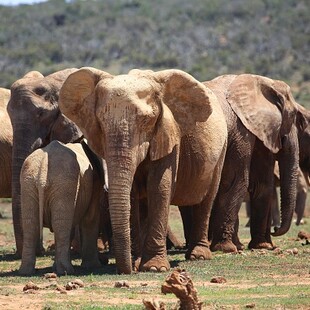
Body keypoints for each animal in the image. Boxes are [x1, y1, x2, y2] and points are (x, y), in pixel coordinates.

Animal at [19, 139, 103, 274]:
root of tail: (42, 174)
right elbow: (90, 218)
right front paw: (93, 266)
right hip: (63, 184)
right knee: (61, 224)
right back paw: (66, 271)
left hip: (28, 182)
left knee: (31, 224)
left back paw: (25, 272)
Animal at [58, 67, 228, 274]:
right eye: (100, 121)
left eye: (147, 120)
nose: (126, 270)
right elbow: (132, 194)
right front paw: (137, 264)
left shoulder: (168, 133)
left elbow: (159, 188)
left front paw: (154, 268)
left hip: (221, 149)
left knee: (207, 199)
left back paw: (198, 256)